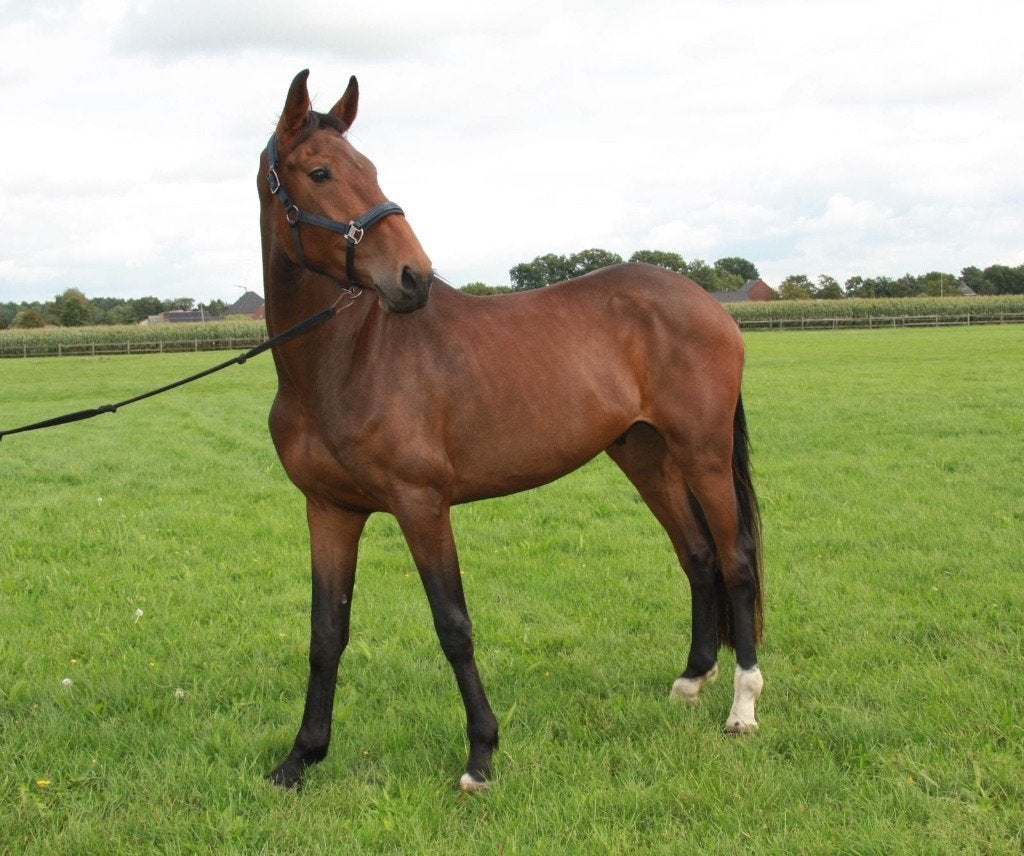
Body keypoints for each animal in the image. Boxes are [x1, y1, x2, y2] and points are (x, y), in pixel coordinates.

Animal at [258, 70, 765, 792]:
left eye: (371, 168)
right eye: (321, 171)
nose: (413, 277)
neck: (343, 361)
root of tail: (709, 306)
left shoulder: (421, 505)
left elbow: (453, 626)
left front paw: (481, 755)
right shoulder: (329, 510)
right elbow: (326, 632)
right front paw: (301, 758)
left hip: (704, 454)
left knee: (734, 558)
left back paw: (743, 706)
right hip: (647, 455)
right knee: (696, 554)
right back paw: (693, 679)